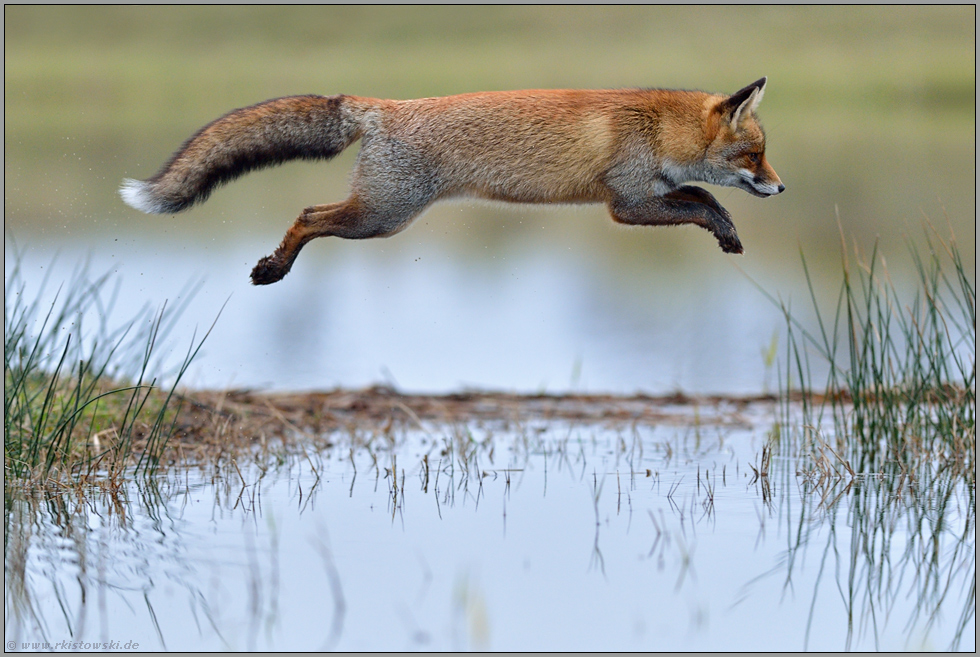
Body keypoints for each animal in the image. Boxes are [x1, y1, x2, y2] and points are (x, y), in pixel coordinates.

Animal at [120, 77, 784, 285]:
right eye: (755, 156)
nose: (781, 189)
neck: (657, 129)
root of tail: (384, 106)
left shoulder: (643, 195)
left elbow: (699, 194)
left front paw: (727, 231)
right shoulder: (624, 203)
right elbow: (701, 200)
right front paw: (725, 229)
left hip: (380, 215)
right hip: (380, 218)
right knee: (309, 216)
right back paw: (273, 269)